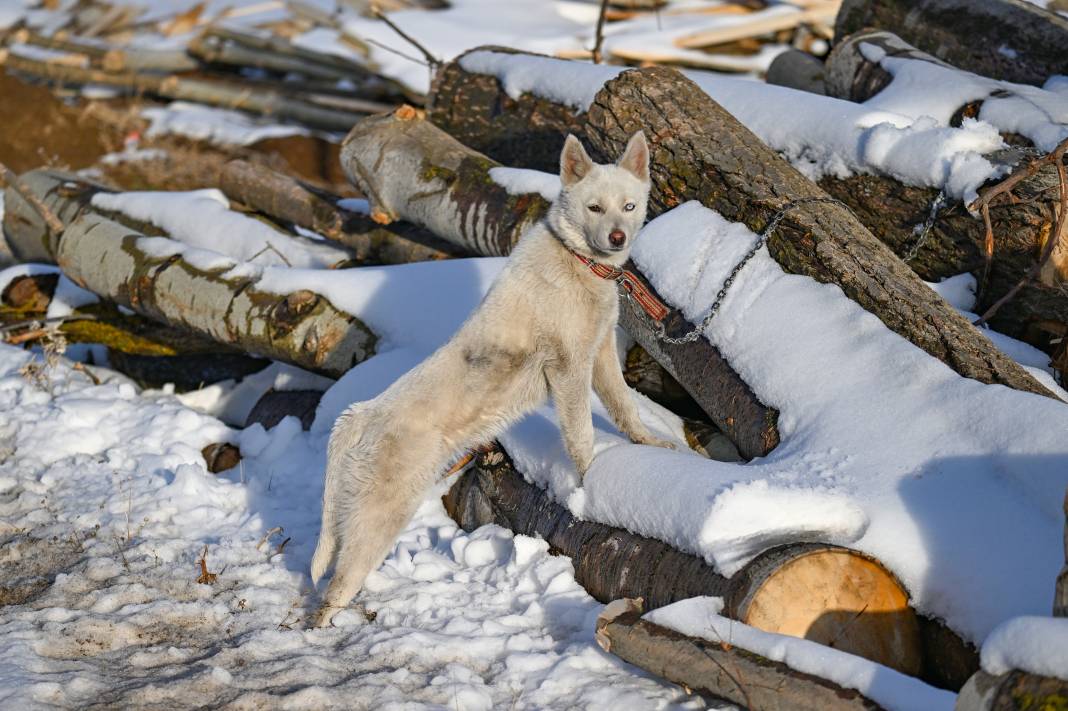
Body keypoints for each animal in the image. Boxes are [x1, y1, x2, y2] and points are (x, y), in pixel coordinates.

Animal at [311, 130, 670, 623]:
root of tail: (358, 417)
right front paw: (589, 485)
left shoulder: (599, 357)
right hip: (377, 522)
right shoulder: (569, 369)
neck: (577, 260)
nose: (617, 238)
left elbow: (625, 409)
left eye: (628, 206)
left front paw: (649, 446)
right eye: (595, 208)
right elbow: (581, 436)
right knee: (335, 588)